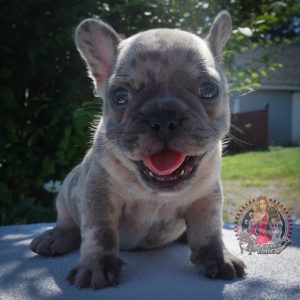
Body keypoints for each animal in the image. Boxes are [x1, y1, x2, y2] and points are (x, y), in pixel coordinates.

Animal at [30, 11, 246, 288]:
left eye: (209, 90)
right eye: (119, 96)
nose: (164, 117)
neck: (154, 194)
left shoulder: (206, 197)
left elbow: (209, 230)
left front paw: (219, 257)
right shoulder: (99, 195)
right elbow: (98, 232)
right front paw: (96, 266)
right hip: (67, 192)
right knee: (67, 222)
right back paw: (55, 238)